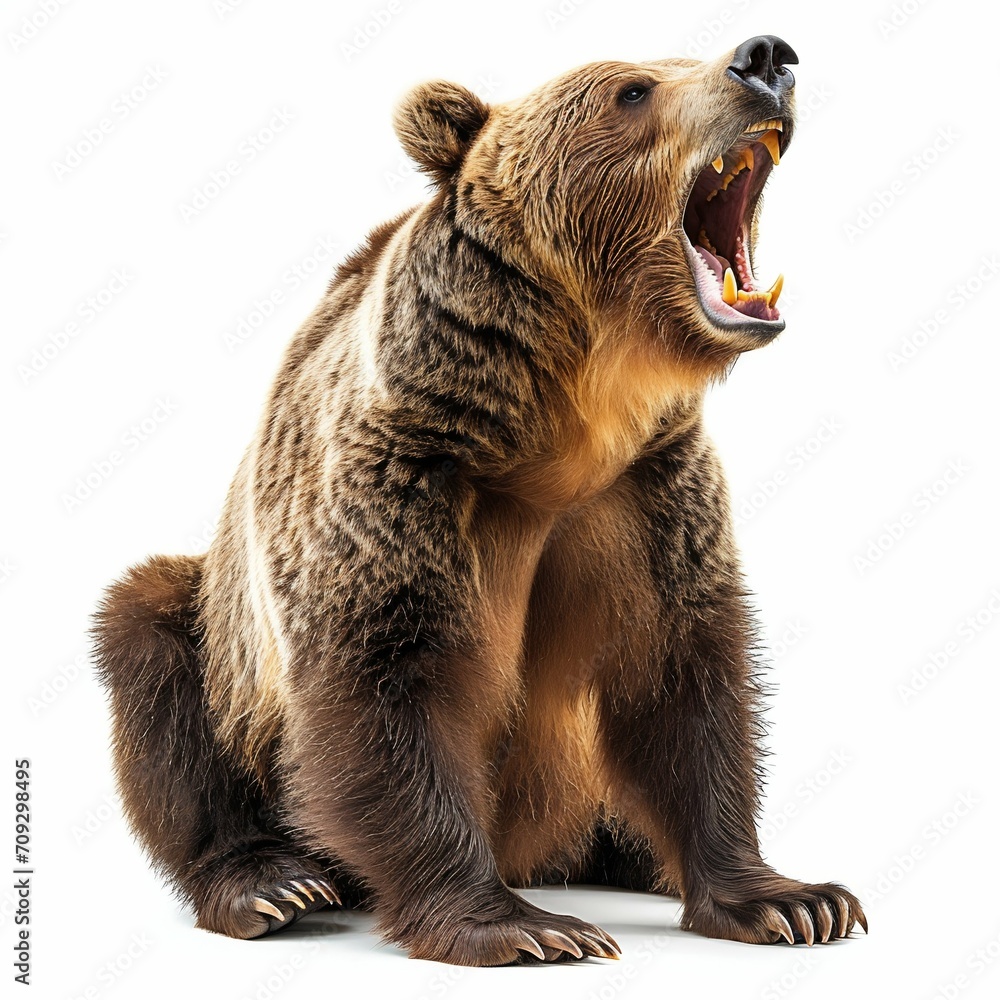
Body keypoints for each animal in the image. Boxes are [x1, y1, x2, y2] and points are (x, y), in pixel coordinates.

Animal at [93, 35, 866, 966]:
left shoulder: (646, 492)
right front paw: (526, 926)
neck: (560, 427)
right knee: (157, 655)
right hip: (223, 640)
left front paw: (793, 900)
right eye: (632, 90)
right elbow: (388, 682)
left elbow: (682, 679)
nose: (765, 58)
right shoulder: (408, 474)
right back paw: (269, 882)